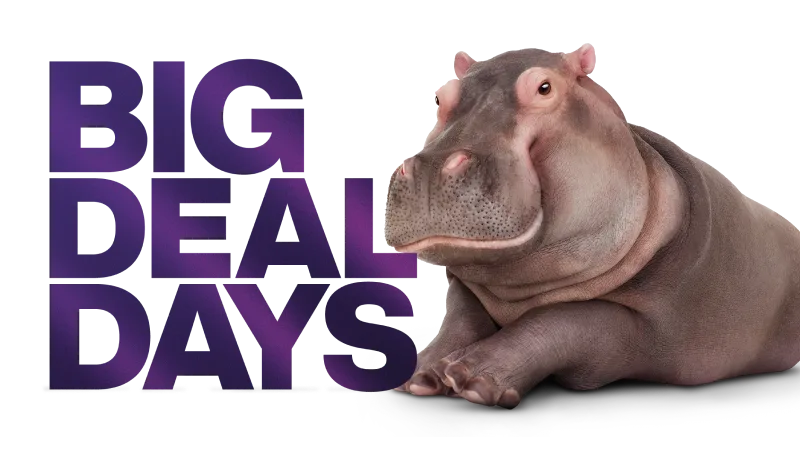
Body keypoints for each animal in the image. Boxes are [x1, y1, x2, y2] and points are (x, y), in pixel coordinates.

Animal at [384, 44, 800, 408]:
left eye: (545, 87)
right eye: (439, 98)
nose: (430, 167)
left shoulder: (648, 331)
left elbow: (564, 320)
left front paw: (471, 379)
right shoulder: (467, 289)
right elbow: (460, 318)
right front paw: (421, 373)